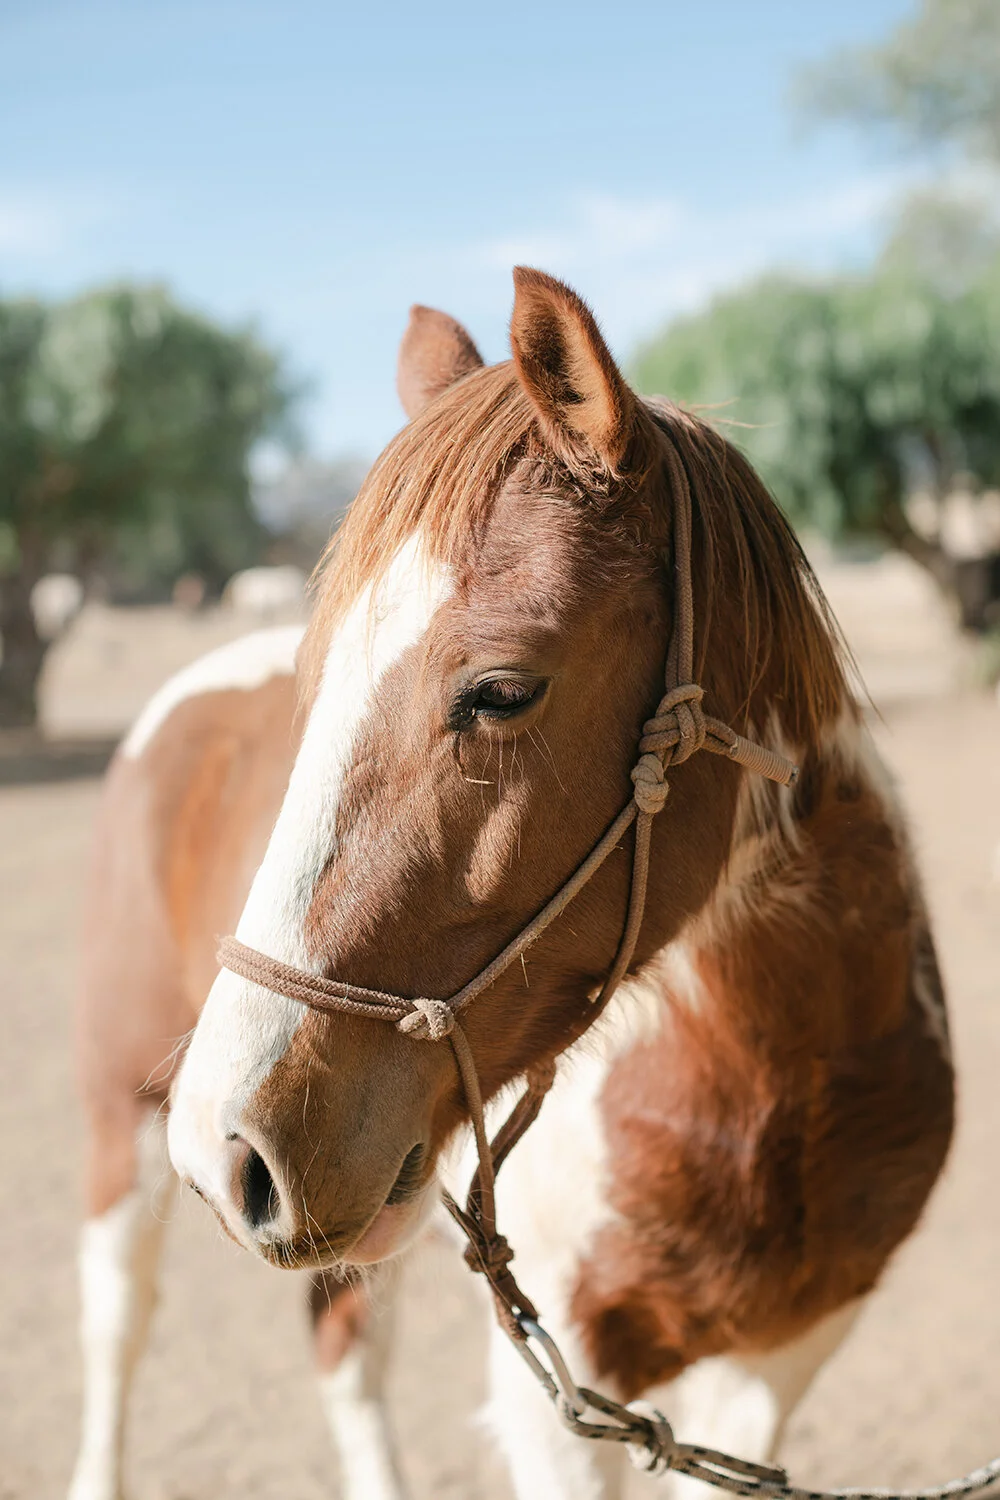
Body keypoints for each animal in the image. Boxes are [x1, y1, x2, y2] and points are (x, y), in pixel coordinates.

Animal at [72, 273, 953, 1500]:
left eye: (499, 691)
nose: (225, 1141)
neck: (764, 1088)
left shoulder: (776, 1366)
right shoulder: (565, 1395)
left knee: (348, 1353)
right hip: (124, 1125)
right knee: (119, 1329)